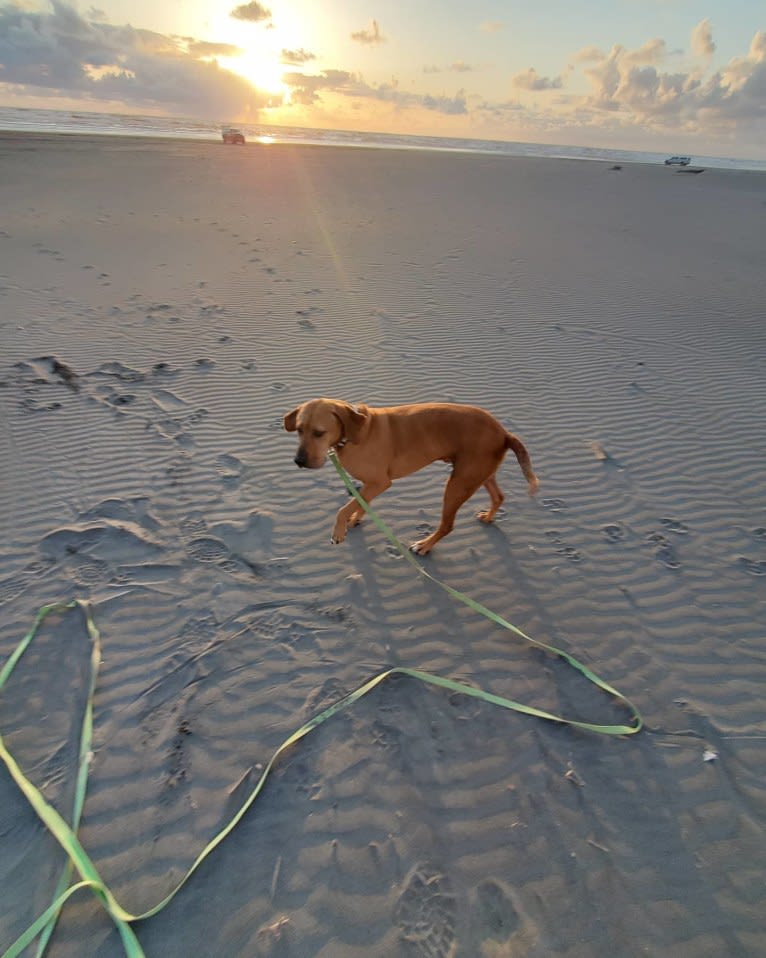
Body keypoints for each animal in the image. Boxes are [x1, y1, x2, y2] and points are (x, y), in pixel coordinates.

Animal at [282, 398, 540, 556]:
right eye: (299, 430)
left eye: (319, 433)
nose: (298, 461)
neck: (358, 431)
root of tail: (503, 433)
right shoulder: (371, 484)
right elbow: (359, 502)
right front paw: (354, 519)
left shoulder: (380, 482)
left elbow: (343, 508)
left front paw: (338, 530)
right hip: (480, 474)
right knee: (499, 496)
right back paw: (488, 517)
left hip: (458, 484)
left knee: (447, 525)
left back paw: (425, 545)